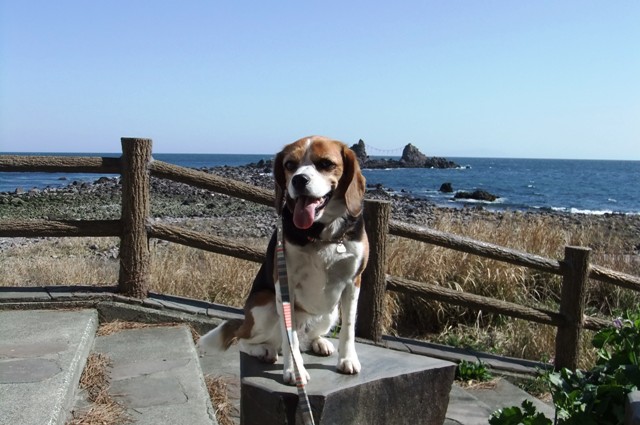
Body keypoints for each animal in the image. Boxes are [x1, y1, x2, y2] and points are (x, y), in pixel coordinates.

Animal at [200, 135, 370, 384]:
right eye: (290, 165)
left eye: (326, 164)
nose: (299, 180)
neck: (322, 232)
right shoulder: (285, 283)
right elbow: (290, 336)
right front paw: (294, 371)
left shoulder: (353, 282)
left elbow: (349, 328)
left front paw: (348, 360)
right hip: (265, 305)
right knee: (244, 339)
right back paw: (264, 350)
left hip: (330, 313)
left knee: (306, 338)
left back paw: (319, 342)